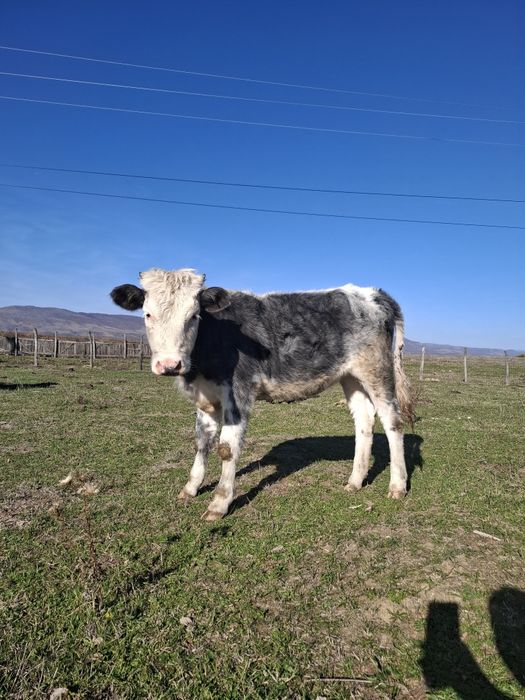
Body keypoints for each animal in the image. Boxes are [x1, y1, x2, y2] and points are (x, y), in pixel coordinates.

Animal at [111, 268, 414, 521]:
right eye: (148, 314)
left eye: (193, 315)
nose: (170, 365)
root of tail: (372, 292)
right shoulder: (206, 398)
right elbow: (201, 442)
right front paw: (191, 488)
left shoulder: (239, 392)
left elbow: (226, 448)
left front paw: (219, 503)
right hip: (351, 377)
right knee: (364, 421)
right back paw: (354, 482)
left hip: (377, 370)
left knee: (392, 422)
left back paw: (397, 485)